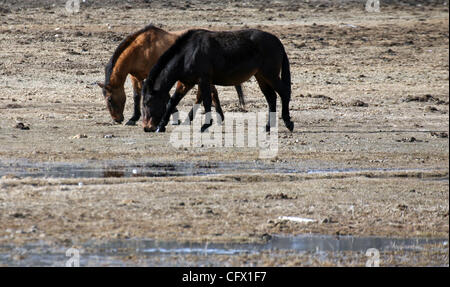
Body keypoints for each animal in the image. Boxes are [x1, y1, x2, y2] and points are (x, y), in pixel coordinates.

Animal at [98, 25, 246, 126]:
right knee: (210, 93)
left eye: (109, 99)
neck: (141, 50)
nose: (117, 119)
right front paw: (133, 118)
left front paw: (173, 116)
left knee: (209, 93)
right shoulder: (136, 77)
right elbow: (136, 96)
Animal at [142, 28, 294, 134]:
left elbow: (207, 101)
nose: (147, 127)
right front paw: (161, 126)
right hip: (261, 76)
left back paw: (288, 122)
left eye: (147, 102)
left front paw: (205, 125)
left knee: (284, 93)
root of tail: (278, 42)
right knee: (271, 98)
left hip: (270, 75)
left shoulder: (203, 80)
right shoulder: (186, 83)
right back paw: (268, 126)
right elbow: (172, 101)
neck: (188, 53)